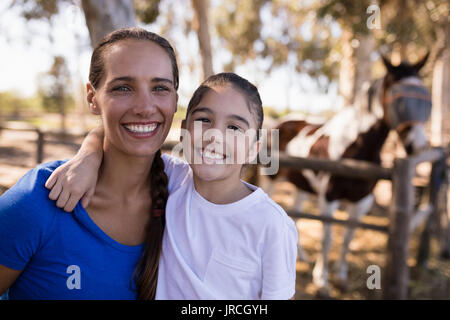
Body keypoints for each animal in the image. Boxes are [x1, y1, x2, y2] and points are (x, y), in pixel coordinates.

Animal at [268, 53, 432, 296]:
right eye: (397, 98)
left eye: (424, 97)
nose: (418, 146)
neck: (355, 148)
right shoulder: (329, 199)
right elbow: (327, 239)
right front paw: (322, 282)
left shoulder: (361, 202)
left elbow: (347, 238)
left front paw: (341, 278)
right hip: (270, 182)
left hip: (302, 187)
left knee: (294, 216)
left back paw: (301, 258)